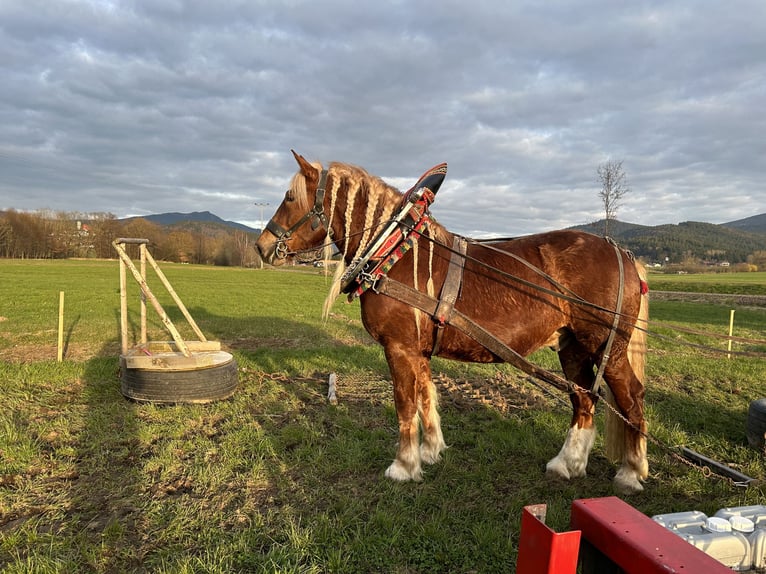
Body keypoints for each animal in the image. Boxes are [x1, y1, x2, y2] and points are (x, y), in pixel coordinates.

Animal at [255, 152, 652, 496]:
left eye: (289, 197)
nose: (261, 246)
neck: (394, 251)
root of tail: (621, 253)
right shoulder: (418, 351)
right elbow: (426, 398)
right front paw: (430, 452)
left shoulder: (399, 348)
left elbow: (404, 404)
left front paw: (403, 465)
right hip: (572, 347)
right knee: (584, 398)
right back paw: (567, 464)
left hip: (606, 347)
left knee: (630, 398)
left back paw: (631, 472)